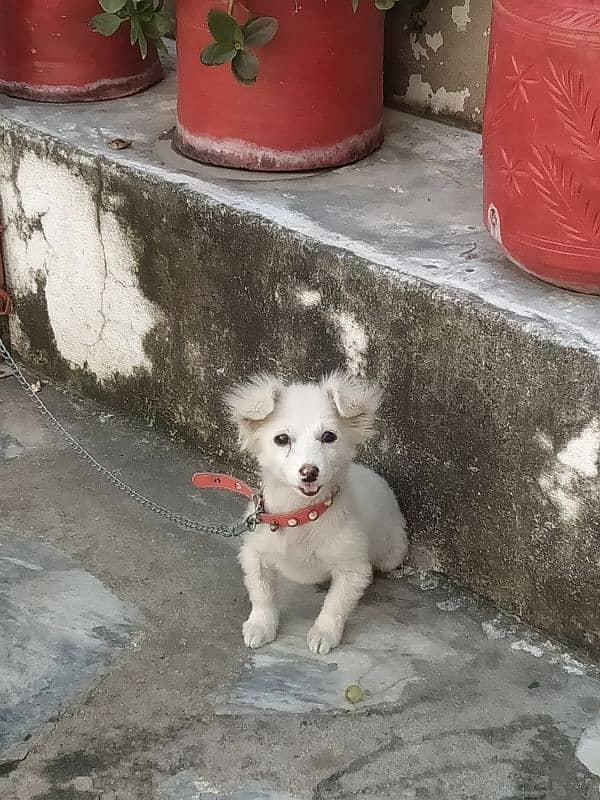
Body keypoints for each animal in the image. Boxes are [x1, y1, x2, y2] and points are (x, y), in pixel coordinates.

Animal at [225, 372, 408, 652]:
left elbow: (335, 606)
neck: (300, 516)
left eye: (329, 436)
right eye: (282, 439)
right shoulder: (254, 554)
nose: (309, 472)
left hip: (391, 553)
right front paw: (261, 625)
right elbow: (262, 594)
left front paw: (324, 634)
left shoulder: (352, 569)